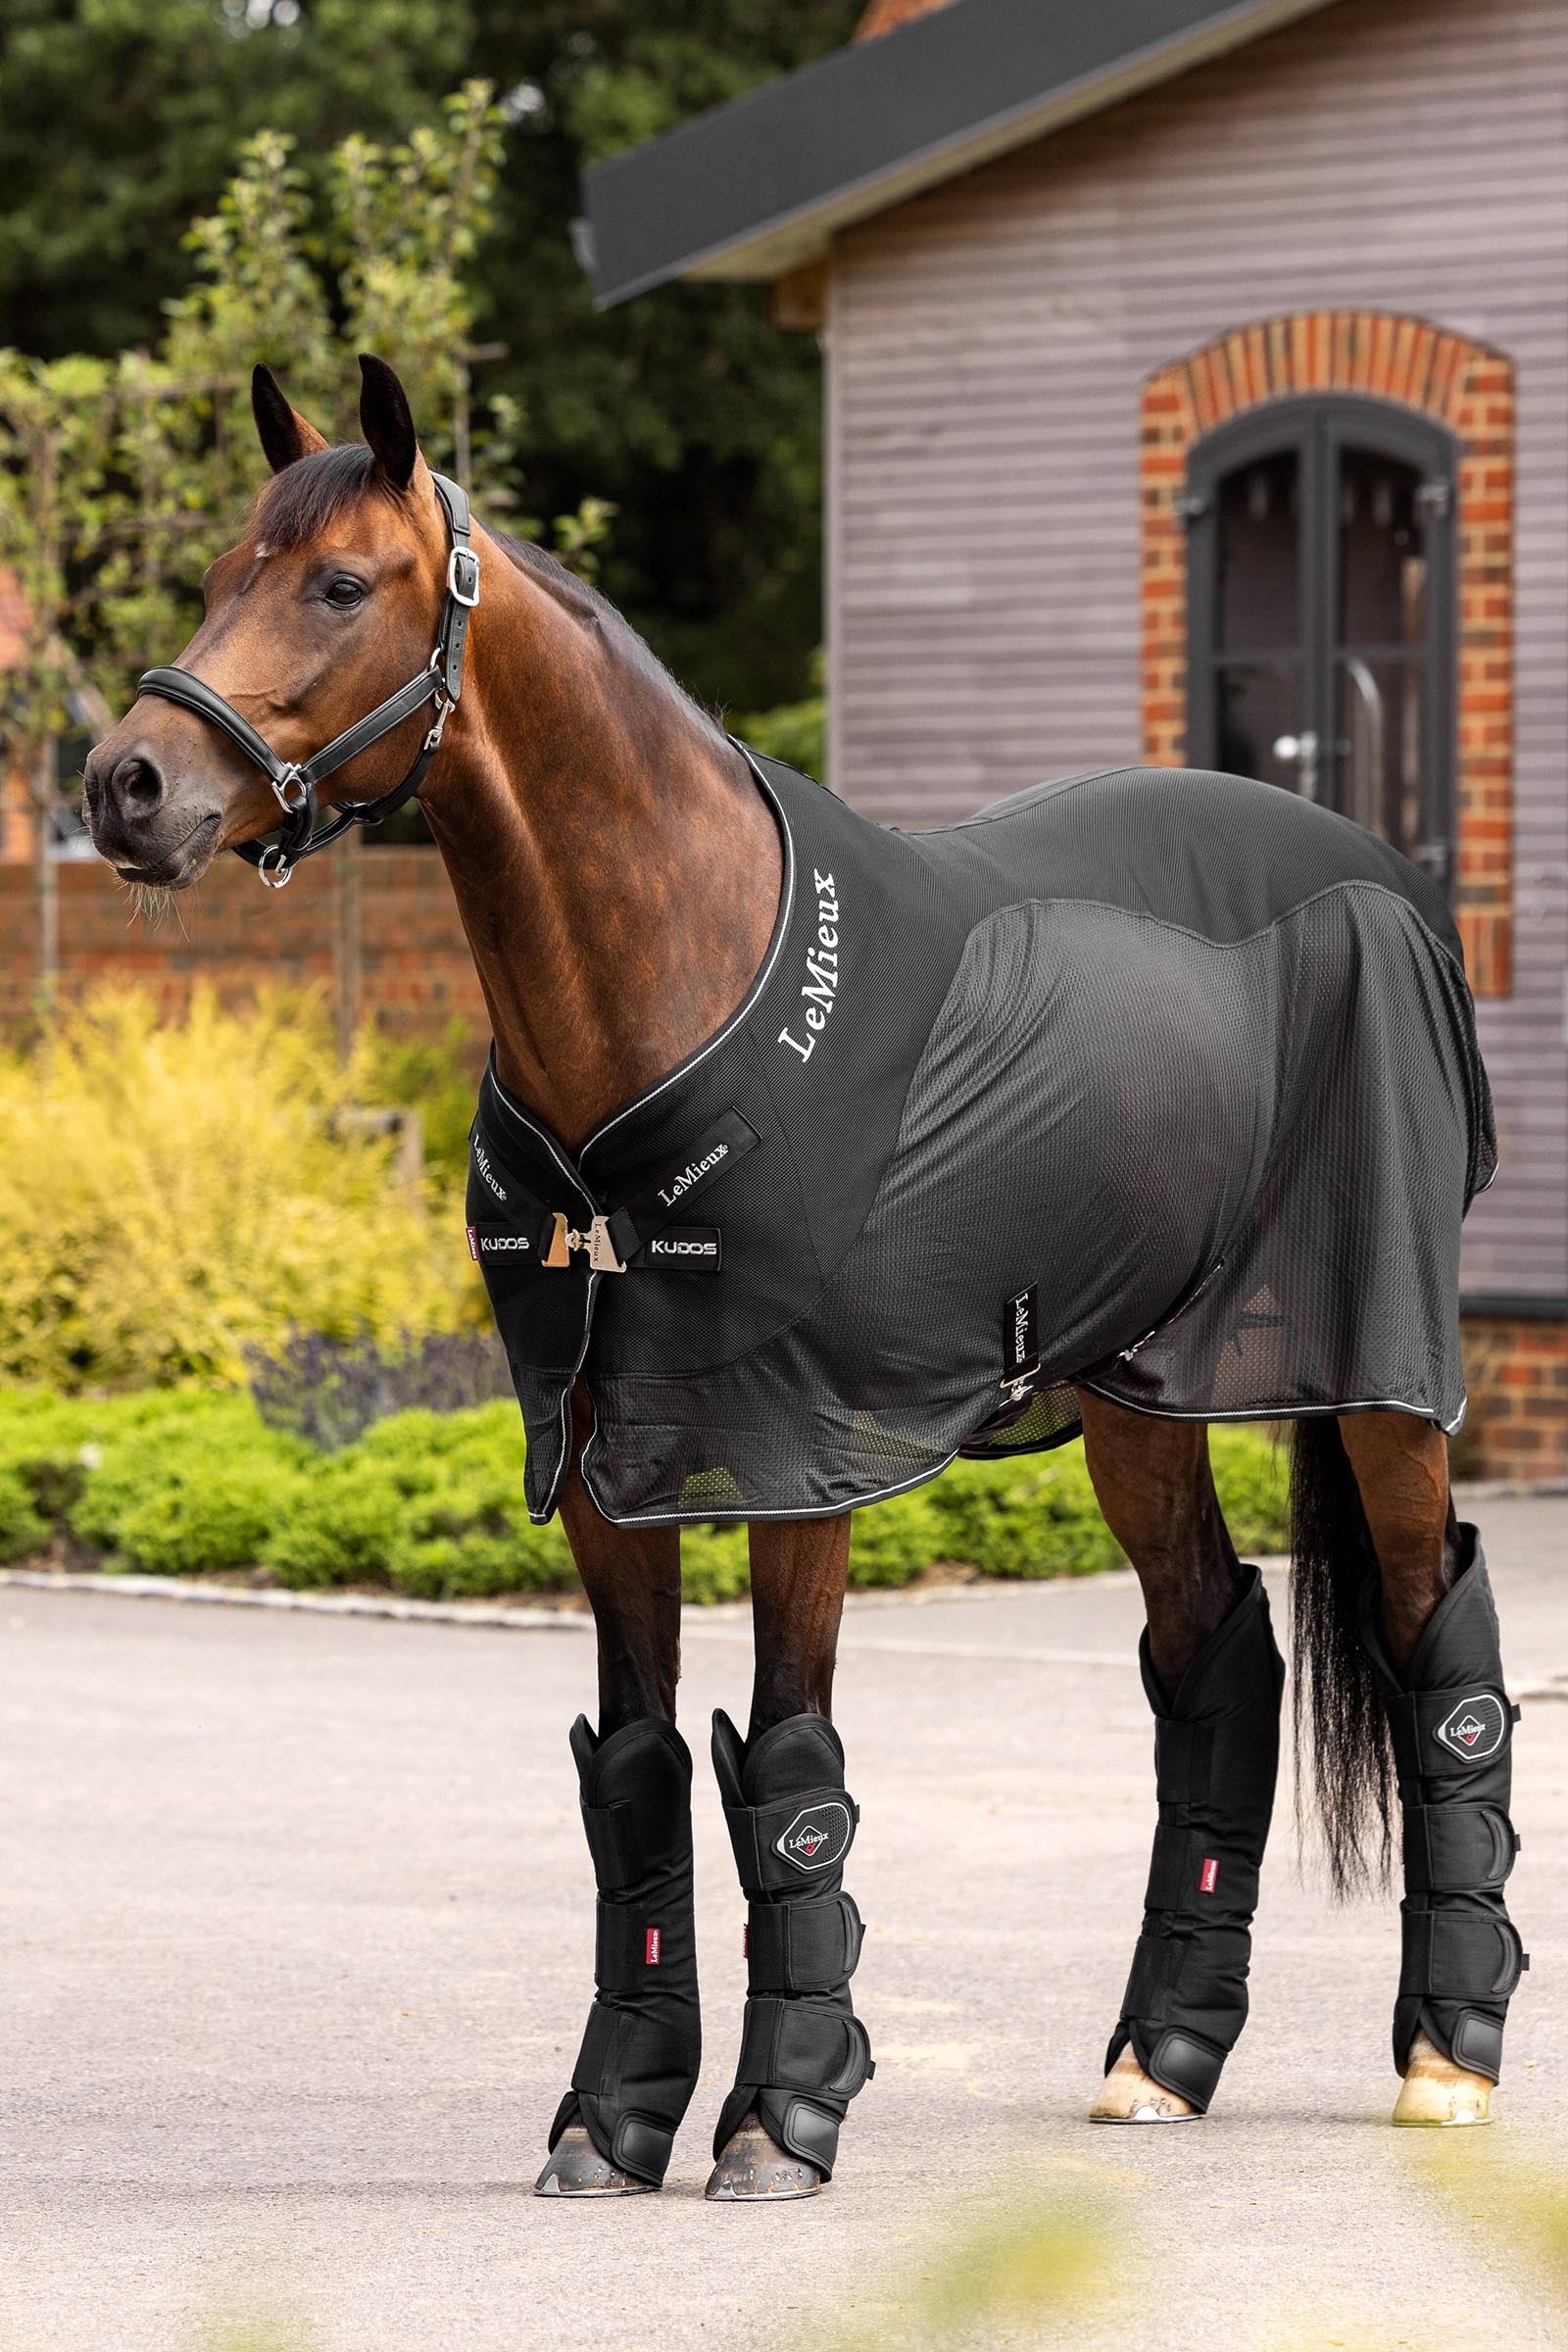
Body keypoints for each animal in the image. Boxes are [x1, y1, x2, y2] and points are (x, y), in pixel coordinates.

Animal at [82, 356, 1523, 2200]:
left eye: (339, 584)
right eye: (214, 576)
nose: (129, 786)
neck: (673, 990)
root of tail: (1392, 883)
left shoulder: (796, 1458)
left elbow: (792, 1772)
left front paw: (780, 2117)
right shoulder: (601, 1464)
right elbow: (633, 1780)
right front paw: (614, 2120)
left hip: (1377, 1375)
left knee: (1435, 1649)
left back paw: (1446, 2053)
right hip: (1138, 1391)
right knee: (1215, 1659)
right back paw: (1161, 2058)